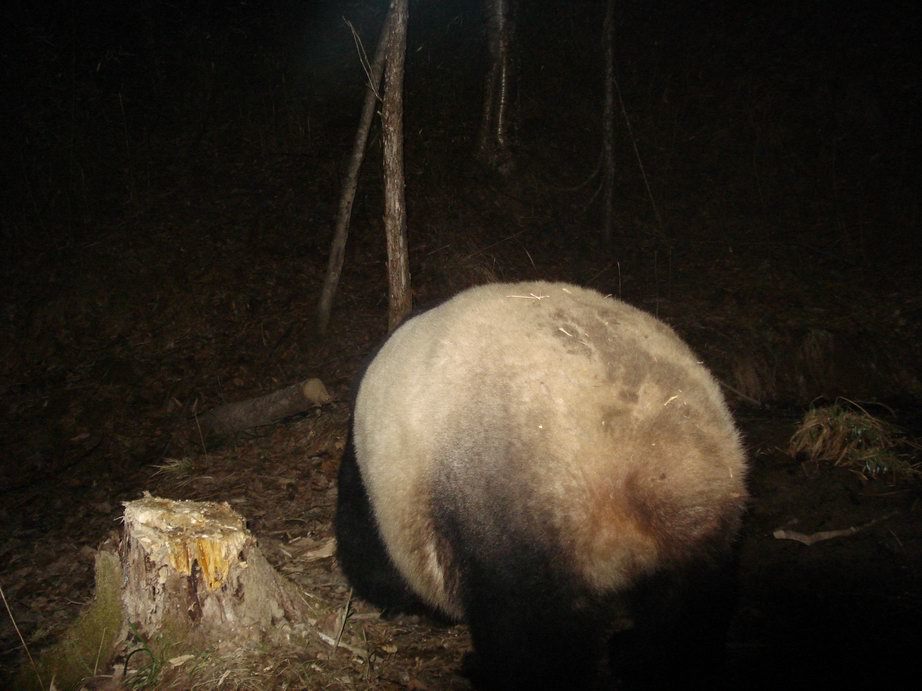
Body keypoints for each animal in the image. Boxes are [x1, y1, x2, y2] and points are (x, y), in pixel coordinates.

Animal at [332, 280, 748, 688]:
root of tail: (640, 469)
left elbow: (369, 555)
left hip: (519, 513)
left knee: (529, 629)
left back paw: (490, 669)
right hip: (707, 528)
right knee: (688, 613)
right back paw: (637, 657)